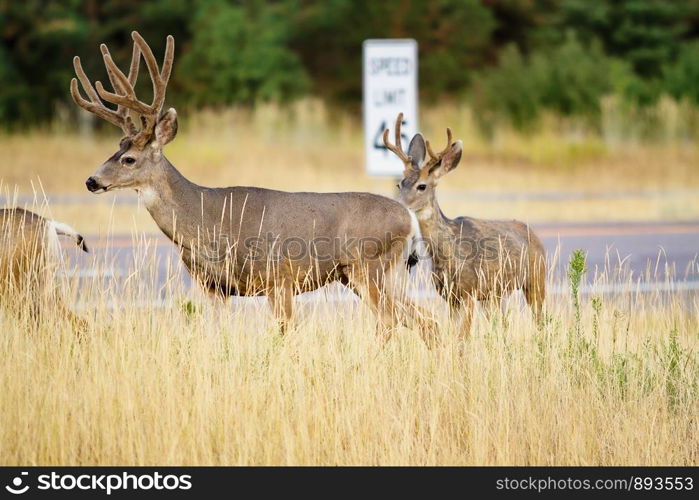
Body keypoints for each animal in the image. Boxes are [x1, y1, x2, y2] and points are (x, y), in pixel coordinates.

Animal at [71, 32, 432, 340]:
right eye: (115, 150)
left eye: (129, 159)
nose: (91, 181)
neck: (206, 221)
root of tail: (409, 219)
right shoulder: (214, 287)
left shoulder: (279, 278)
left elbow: (285, 334)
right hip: (374, 275)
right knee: (424, 319)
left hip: (369, 267)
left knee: (392, 319)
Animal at [386, 114, 544, 334]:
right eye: (399, 184)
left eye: (422, 186)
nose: (397, 204)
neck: (447, 253)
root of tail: (535, 236)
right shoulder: (449, 296)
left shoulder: (470, 291)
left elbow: (464, 335)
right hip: (493, 295)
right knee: (502, 323)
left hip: (537, 279)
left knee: (541, 319)